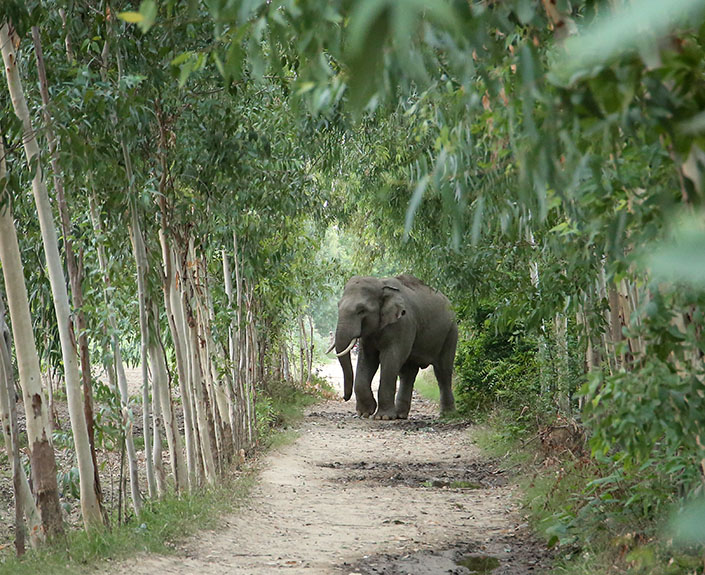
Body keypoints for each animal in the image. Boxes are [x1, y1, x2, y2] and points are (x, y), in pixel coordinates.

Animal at [328, 274, 457, 420]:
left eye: (362, 310)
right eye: (338, 305)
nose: (345, 398)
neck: (381, 285)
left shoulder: (403, 324)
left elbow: (390, 359)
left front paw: (382, 417)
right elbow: (367, 360)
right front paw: (365, 413)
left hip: (451, 332)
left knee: (443, 371)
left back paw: (447, 414)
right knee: (408, 373)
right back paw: (400, 415)